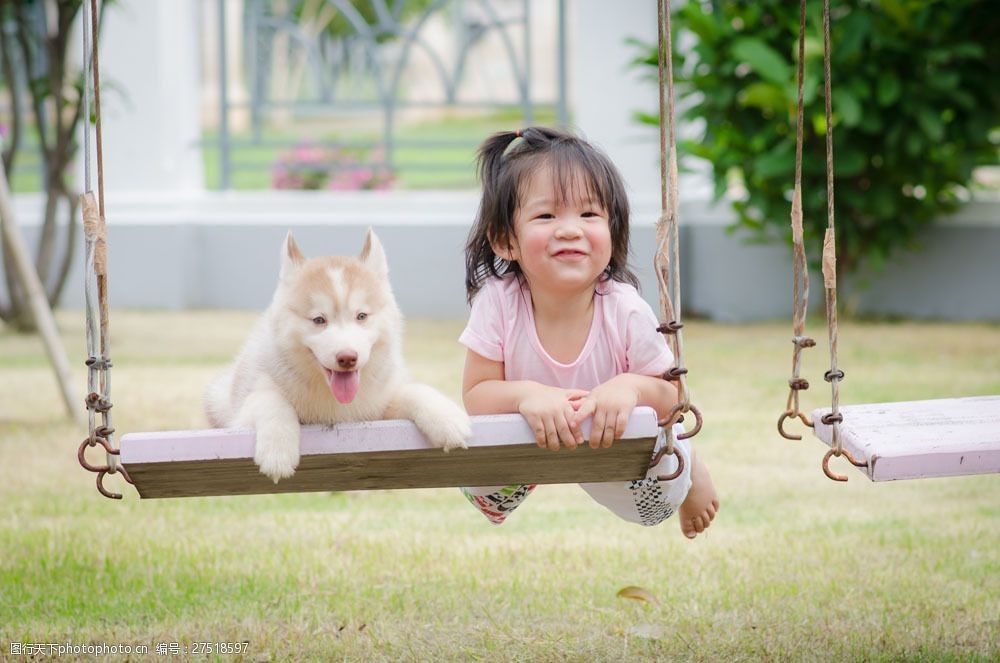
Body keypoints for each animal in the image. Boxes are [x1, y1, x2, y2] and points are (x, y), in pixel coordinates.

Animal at [206, 228, 472, 482]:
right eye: (318, 320)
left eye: (361, 316)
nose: (347, 358)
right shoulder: (245, 408)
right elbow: (270, 400)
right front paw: (277, 451)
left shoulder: (380, 410)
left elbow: (412, 390)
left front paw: (447, 418)